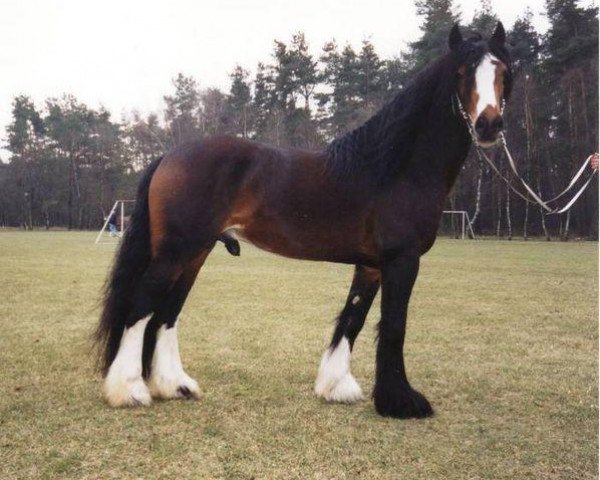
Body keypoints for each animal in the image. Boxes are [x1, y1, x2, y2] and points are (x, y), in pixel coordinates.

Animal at [96, 22, 512, 418]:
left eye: (503, 72)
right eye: (462, 73)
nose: (489, 125)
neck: (395, 169)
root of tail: (168, 156)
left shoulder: (372, 265)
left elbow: (353, 318)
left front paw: (337, 386)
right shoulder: (402, 260)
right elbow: (395, 326)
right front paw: (401, 402)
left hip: (194, 254)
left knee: (166, 314)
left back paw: (174, 386)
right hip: (176, 253)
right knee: (140, 308)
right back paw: (129, 391)